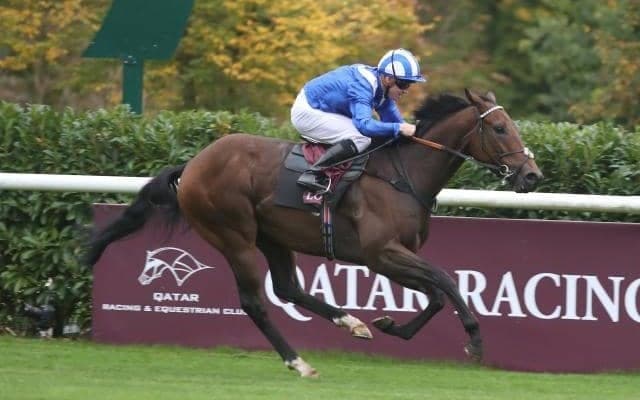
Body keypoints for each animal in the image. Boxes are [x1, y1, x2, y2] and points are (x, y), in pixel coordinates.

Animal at [86, 89, 543, 377]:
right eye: (500, 128)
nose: (532, 176)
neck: (403, 175)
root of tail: (194, 164)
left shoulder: (390, 257)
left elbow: (434, 294)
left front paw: (389, 326)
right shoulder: (382, 253)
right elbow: (446, 281)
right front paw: (475, 341)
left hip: (272, 238)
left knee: (288, 288)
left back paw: (350, 322)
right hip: (233, 236)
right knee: (255, 302)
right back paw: (298, 362)